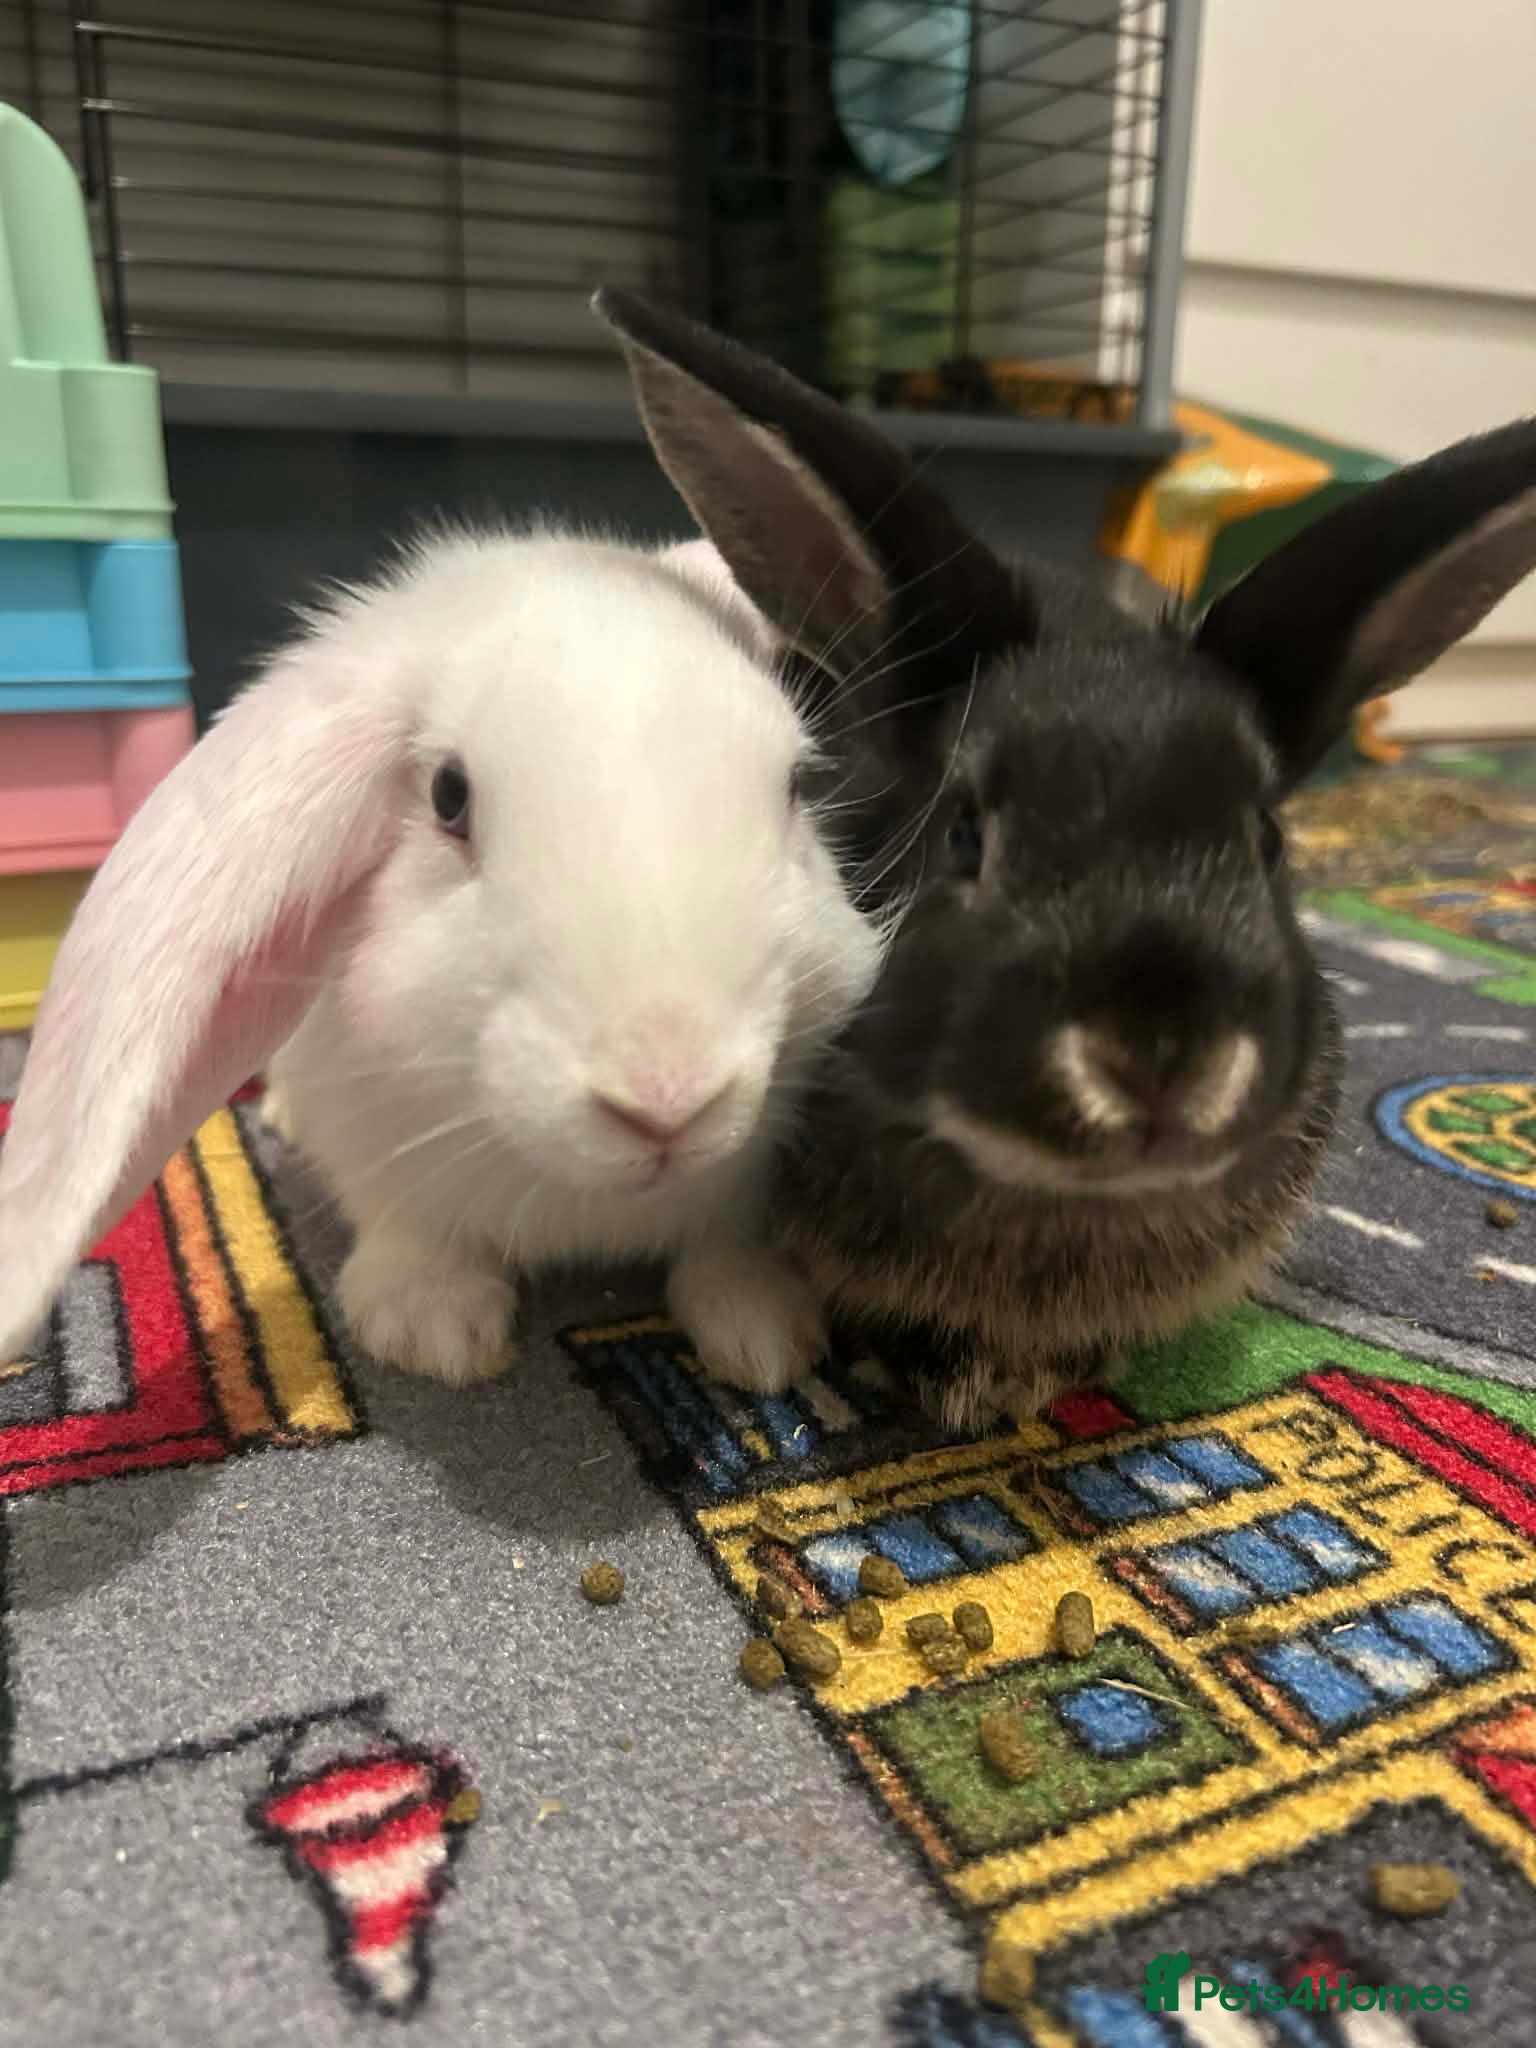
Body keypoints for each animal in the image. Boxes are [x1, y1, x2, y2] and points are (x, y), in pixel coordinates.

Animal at [0, 526, 886, 1390]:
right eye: (449, 798)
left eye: (798, 787)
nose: (670, 1101)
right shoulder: (371, 1141)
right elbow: (410, 1228)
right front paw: (432, 1334)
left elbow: (727, 1248)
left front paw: (767, 1337)